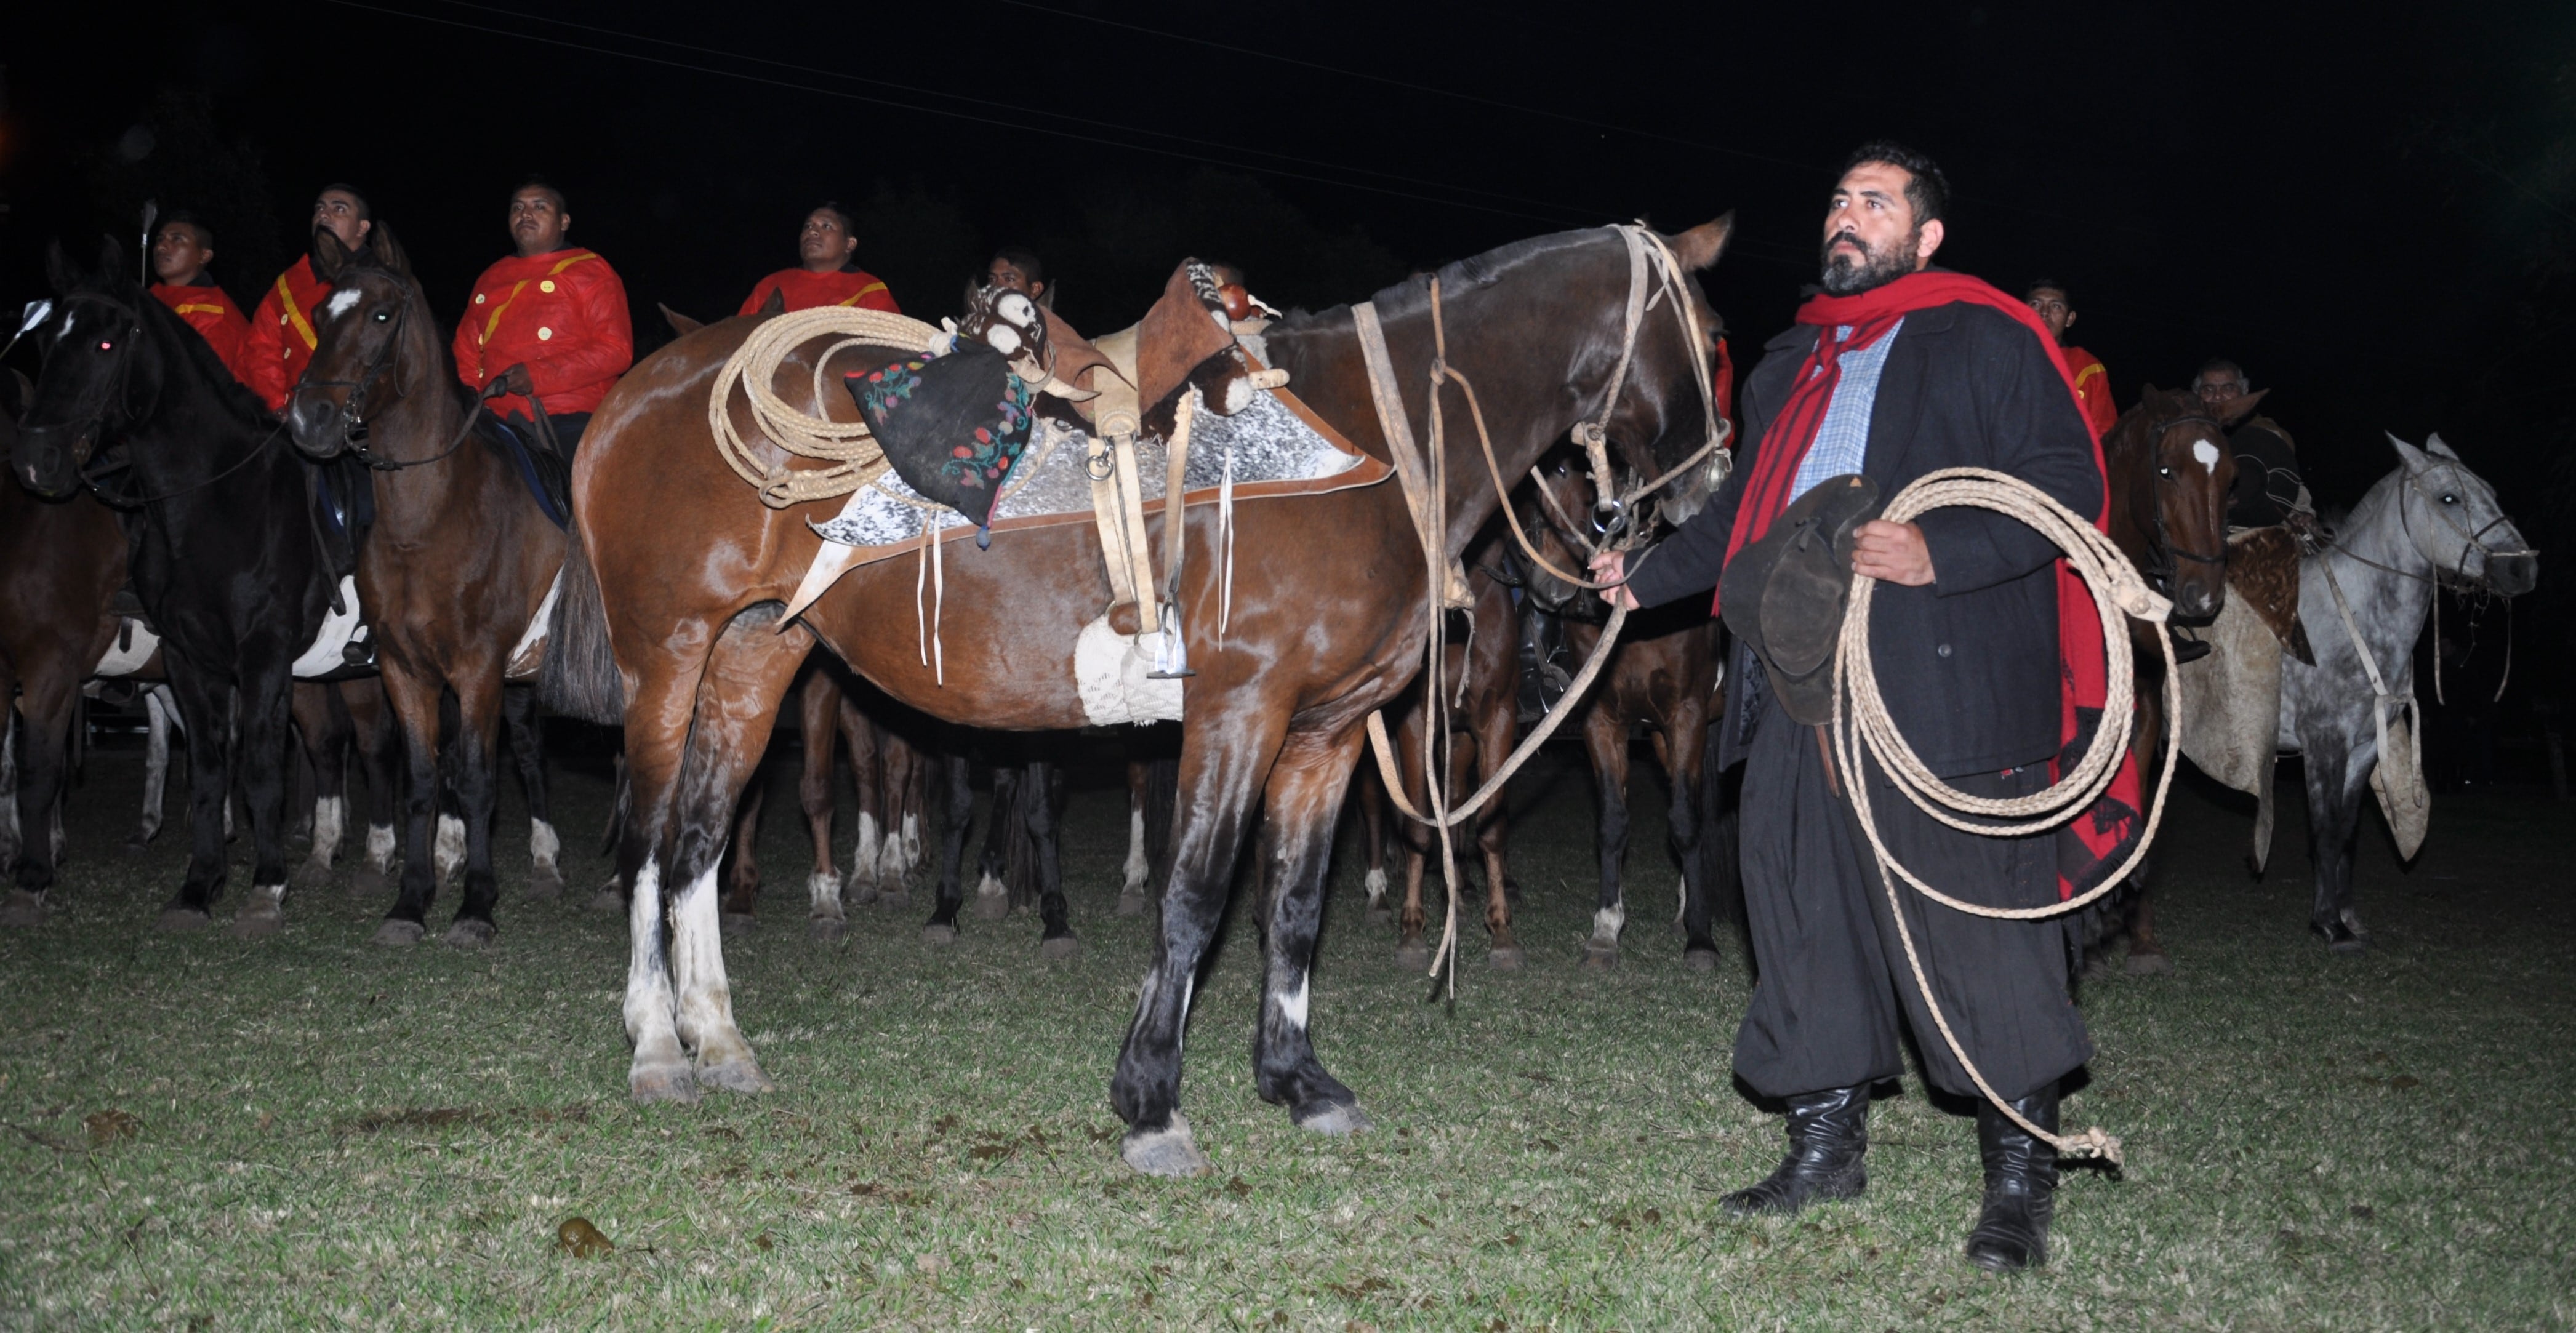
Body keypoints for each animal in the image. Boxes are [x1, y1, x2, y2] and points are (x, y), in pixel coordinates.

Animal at [12, 240, 335, 937]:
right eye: (46, 342)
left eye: (106, 344)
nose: (34, 459)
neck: (217, 501)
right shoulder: (189, 659)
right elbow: (209, 767)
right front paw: (198, 885)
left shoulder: (263, 654)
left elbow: (260, 767)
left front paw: (266, 886)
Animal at [284, 228, 572, 952]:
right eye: (322, 314)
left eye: (382, 315)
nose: (308, 420)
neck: (430, 517)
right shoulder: (405, 668)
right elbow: (419, 778)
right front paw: (412, 899)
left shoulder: (477, 671)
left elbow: (474, 781)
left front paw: (476, 904)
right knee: (531, 751)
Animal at [544, 222, 1731, 1183]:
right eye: (1714, 335)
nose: (1705, 494)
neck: (1377, 439)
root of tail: (635, 395)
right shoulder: (1240, 711)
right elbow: (1195, 898)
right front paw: (1152, 1102)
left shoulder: (1327, 732)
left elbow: (1293, 906)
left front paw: (1298, 1082)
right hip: (671, 659)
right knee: (648, 843)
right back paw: (657, 1045)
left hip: (753, 656)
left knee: (699, 841)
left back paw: (719, 1039)